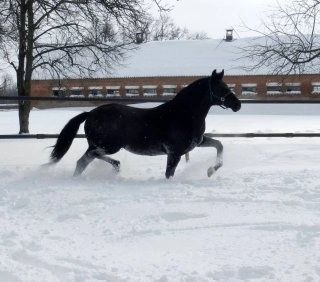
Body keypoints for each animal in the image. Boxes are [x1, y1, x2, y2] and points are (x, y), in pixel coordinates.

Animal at [50, 69, 240, 177]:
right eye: (221, 88)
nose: (237, 104)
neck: (185, 113)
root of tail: (90, 113)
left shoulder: (196, 142)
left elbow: (219, 145)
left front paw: (211, 171)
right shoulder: (174, 152)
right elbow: (169, 174)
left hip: (105, 146)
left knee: (88, 159)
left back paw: (115, 167)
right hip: (107, 145)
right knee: (84, 160)